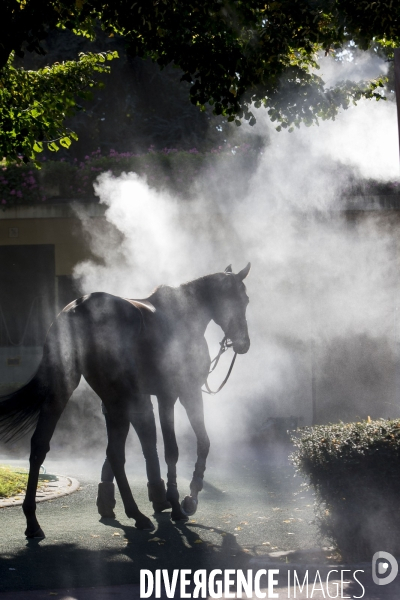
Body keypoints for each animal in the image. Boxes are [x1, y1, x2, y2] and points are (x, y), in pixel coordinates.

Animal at [0, 264, 250, 536]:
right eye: (241, 299)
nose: (244, 343)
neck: (185, 315)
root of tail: (78, 307)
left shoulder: (156, 397)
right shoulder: (180, 394)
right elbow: (185, 447)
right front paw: (185, 501)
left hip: (68, 390)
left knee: (41, 446)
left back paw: (33, 521)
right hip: (119, 397)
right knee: (116, 453)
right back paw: (136, 514)